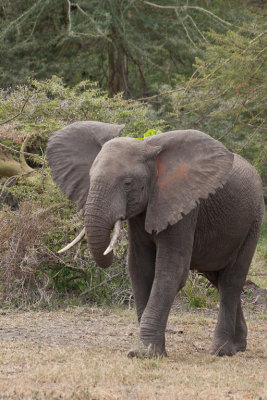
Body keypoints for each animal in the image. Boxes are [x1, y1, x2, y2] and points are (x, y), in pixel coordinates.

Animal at [46, 121, 266, 356]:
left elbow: (170, 271)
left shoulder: (184, 205)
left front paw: (144, 353)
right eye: (89, 176)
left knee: (231, 280)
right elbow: (139, 268)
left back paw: (220, 351)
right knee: (218, 278)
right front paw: (145, 351)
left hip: (254, 221)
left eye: (128, 183)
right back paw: (239, 346)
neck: (149, 150)